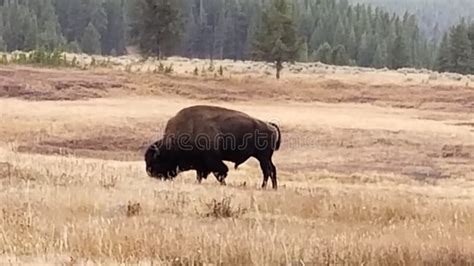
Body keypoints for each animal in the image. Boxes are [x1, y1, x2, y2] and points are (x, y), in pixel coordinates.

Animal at [144, 104, 282, 189]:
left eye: (156, 160)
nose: (150, 173)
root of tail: (269, 126)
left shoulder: (212, 160)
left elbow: (221, 172)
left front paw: (223, 184)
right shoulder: (200, 163)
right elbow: (201, 175)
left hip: (263, 157)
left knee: (268, 170)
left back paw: (264, 187)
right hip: (264, 157)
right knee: (271, 170)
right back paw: (273, 188)